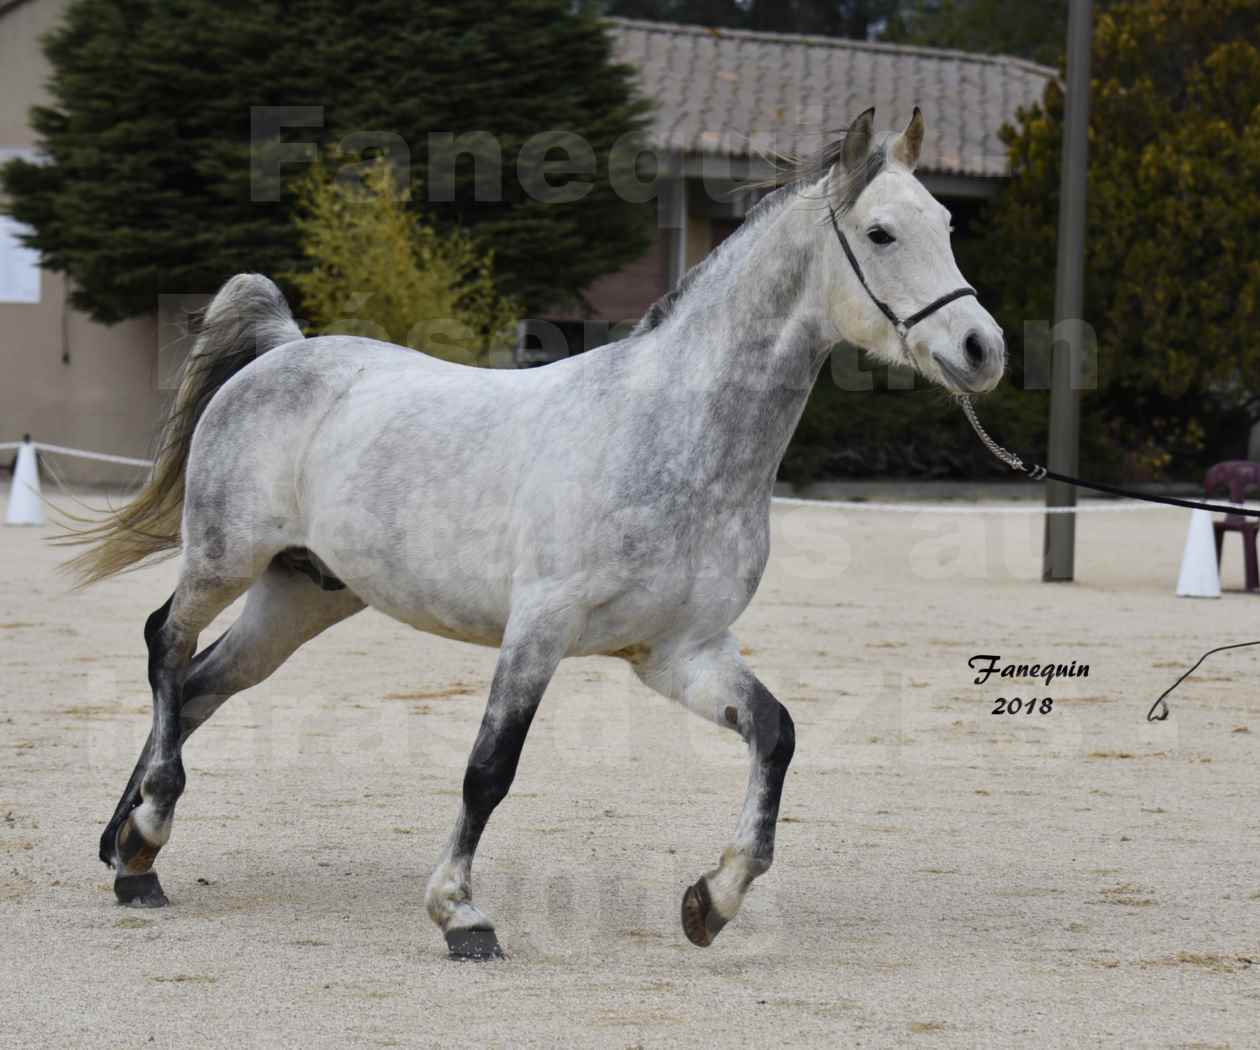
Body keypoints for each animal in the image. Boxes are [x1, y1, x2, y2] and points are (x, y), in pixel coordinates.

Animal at [78, 108, 1002, 957]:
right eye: (882, 232)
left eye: (948, 225)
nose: (981, 349)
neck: (670, 437)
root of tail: (281, 351)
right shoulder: (540, 628)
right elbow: (490, 768)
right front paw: (461, 915)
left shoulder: (680, 652)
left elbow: (774, 734)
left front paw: (713, 899)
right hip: (224, 559)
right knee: (166, 646)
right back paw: (147, 829)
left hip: (303, 598)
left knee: (201, 685)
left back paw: (133, 856)